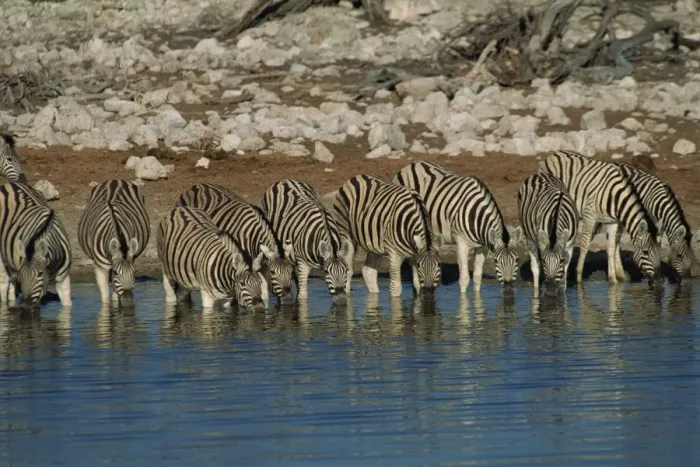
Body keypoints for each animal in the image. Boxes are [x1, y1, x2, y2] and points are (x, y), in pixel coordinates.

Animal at [393, 161, 519, 294]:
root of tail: (411, 164)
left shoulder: (483, 247)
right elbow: (464, 278)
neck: (476, 216)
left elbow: (477, 277)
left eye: (517, 260)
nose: (509, 289)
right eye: (496, 261)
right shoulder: (461, 243)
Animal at [540, 150, 662, 286]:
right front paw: (578, 277)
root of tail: (555, 153)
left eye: (660, 252)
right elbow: (585, 245)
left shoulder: (612, 222)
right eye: (645, 252)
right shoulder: (589, 216)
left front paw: (613, 280)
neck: (615, 197)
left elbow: (611, 248)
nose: (658, 281)